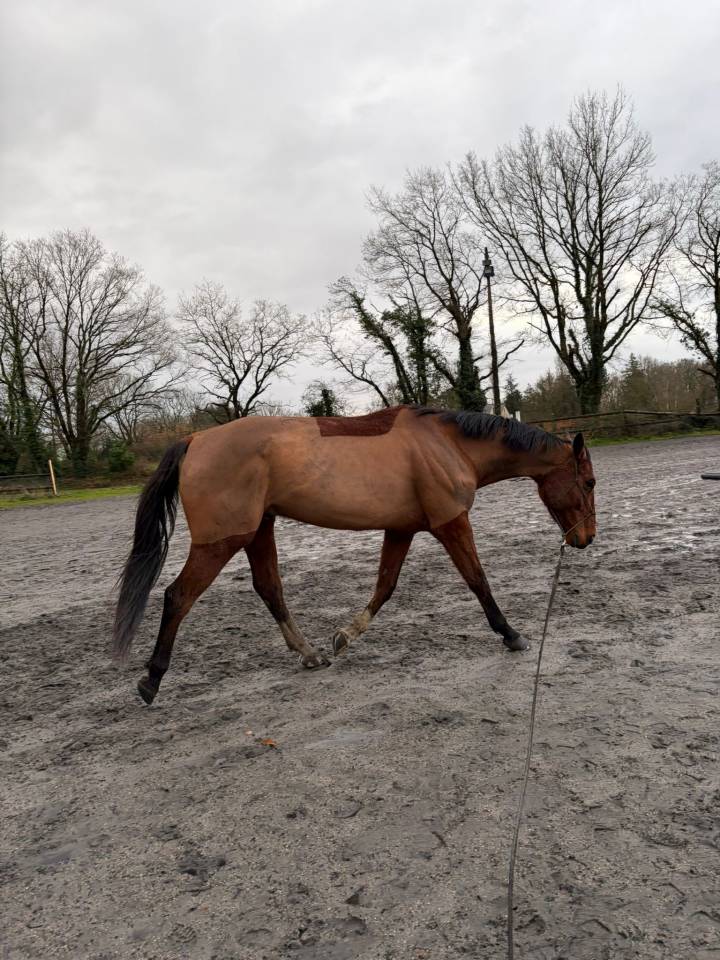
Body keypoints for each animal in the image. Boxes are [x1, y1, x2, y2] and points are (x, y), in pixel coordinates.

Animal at [112, 405, 596, 704]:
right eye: (589, 482)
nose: (586, 538)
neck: (448, 444)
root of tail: (194, 439)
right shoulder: (450, 522)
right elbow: (478, 580)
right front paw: (511, 634)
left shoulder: (402, 529)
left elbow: (385, 586)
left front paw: (345, 636)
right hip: (222, 540)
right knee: (178, 596)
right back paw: (151, 680)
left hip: (258, 531)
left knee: (269, 588)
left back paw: (309, 654)